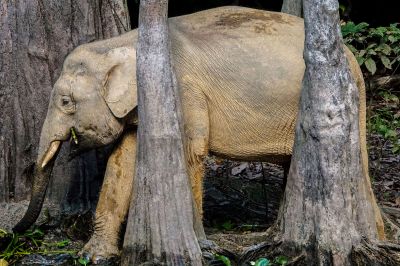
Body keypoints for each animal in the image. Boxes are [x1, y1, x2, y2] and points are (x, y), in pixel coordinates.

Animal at [14, 5, 384, 262]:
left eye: (66, 102)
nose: (15, 232)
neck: (123, 42)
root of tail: (350, 55)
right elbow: (123, 161)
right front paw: (93, 257)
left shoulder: (184, 92)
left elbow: (191, 151)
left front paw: (199, 246)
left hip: (350, 100)